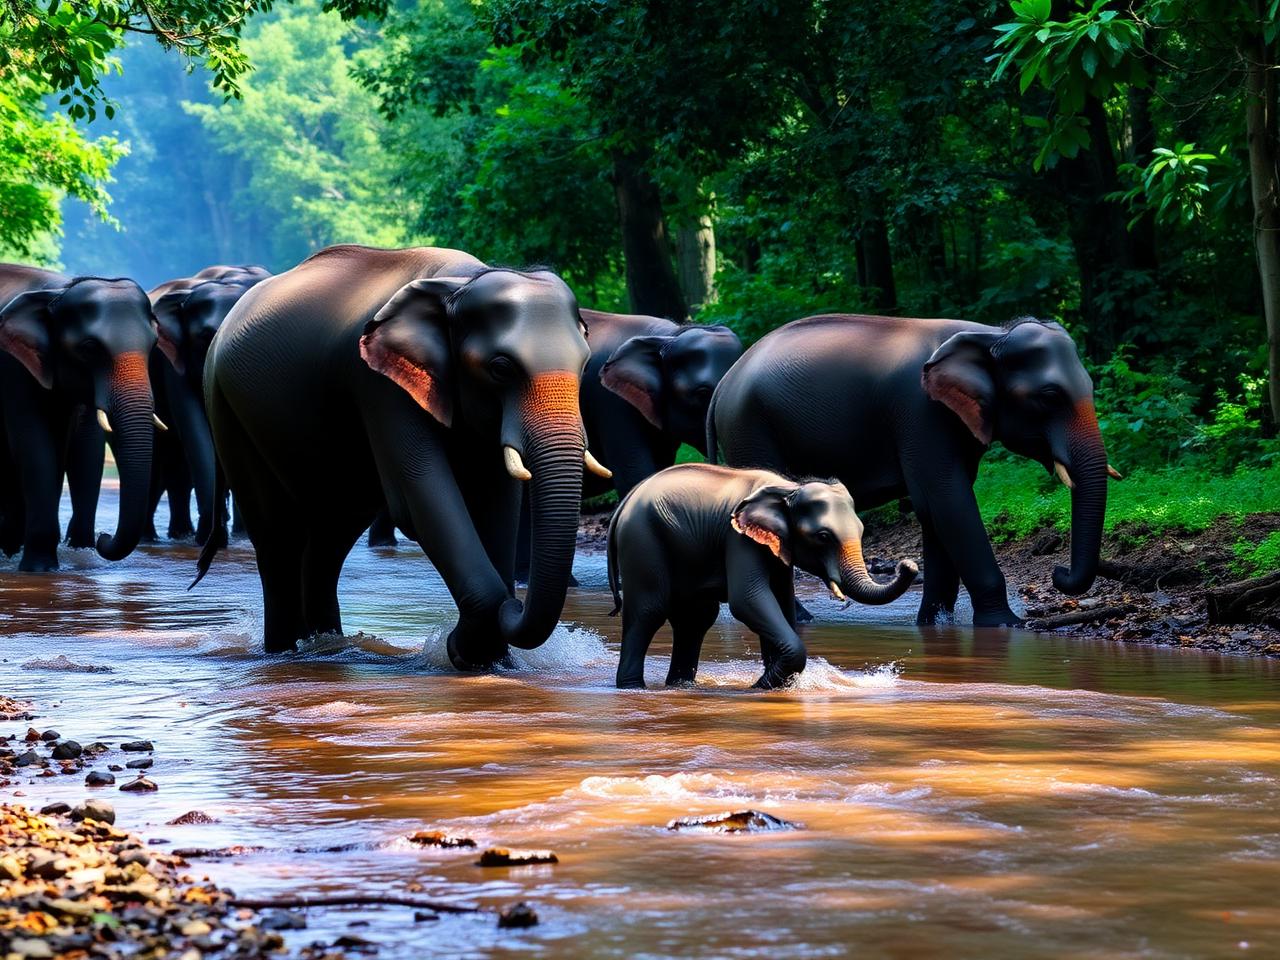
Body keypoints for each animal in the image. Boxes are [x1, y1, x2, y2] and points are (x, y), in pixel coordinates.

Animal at [0, 264, 175, 571]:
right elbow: (34, 447)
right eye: (89, 347)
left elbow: (80, 450)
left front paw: (74, 556)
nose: (104, 536)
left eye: (154, 343)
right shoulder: (15, 367)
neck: (59, 290)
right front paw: (40, 568)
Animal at [196, 244, 599, 666]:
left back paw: (326, 644)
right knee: (278, 537)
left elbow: (497, 502)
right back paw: (285, 652)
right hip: (225, 405)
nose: (515, 604)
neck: (462, 282)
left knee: (331, 534)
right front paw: (464, 652)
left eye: (586, 364)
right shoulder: (378, 385)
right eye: (500, 368)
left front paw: (493, 661)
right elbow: (418, 499)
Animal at [607, 463, 918, 689]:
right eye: (823, 536)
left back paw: (681, 686)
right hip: (642, 540)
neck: (789, 489)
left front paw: (775, 684)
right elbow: (748, 600)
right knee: (649, 611)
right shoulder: (738, 538)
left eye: (863, 530)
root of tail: (624, 504)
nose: (908, 565)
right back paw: (633, 688)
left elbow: (781, 602)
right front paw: (763, 686)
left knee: (695, 619)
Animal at [709, 314, 1118, 628]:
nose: (1058, 573)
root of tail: (724, 384)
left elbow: (936, 510)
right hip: (750, 428)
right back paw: (802, 619)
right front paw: (1006, 625)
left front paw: (935, 625)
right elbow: (947, 499)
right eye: (1049, 397)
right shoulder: (920, 413)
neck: (990, 333)